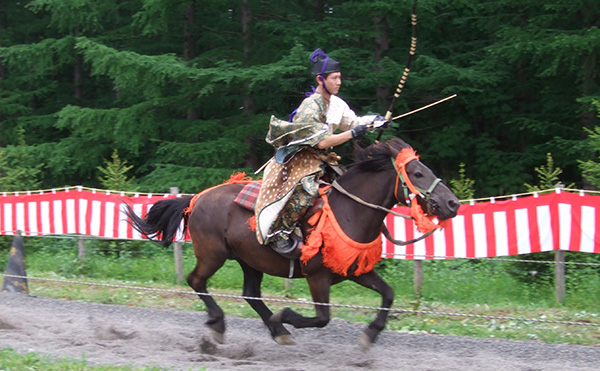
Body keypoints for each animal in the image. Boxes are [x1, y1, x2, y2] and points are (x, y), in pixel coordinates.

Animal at [126, 138, 460, 350]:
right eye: (417, 173)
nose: (453, 203)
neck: (348, 211)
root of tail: (197, 198)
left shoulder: (356, 269)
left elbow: (388, 294)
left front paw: (370, 335)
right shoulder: (317, 276)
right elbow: (323, 318)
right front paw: (286, 315)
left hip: (249, 260)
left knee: (251, 294)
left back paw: (277, 331)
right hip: (212, 254)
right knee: (196, 281)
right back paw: (221, 324)